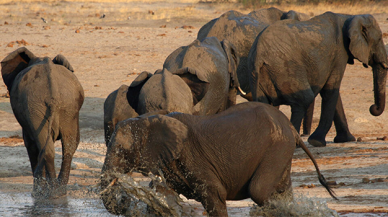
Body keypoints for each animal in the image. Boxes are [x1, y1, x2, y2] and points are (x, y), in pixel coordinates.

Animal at [0, 47, 84, 198]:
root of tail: (53, 93)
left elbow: (30, 144)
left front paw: (39, 191)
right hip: (68, 107)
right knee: (69, 145)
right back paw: (59, 191)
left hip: (35, 107)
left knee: (45, 147)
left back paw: (46, 192)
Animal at [100, 102, 336, 217]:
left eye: (120, 150)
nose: (124, 199)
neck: (149, 118)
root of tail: (292, 129)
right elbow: (160, 198)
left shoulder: (193, 158)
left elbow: (215, 194)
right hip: (281, 150)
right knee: (282, 190)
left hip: (276, 147)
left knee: (258, 191)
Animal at [249, 12, 388, 147]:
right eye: (380, 39)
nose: (373, 107)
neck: (349, 17)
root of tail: (258, 54)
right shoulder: (339, 53)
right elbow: (330, 90)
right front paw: (317, 142)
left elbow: (333, 92)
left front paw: (346, 139)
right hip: (286, 68)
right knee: (303, 100)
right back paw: (294, 143)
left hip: (261, 74)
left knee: (266, 104)